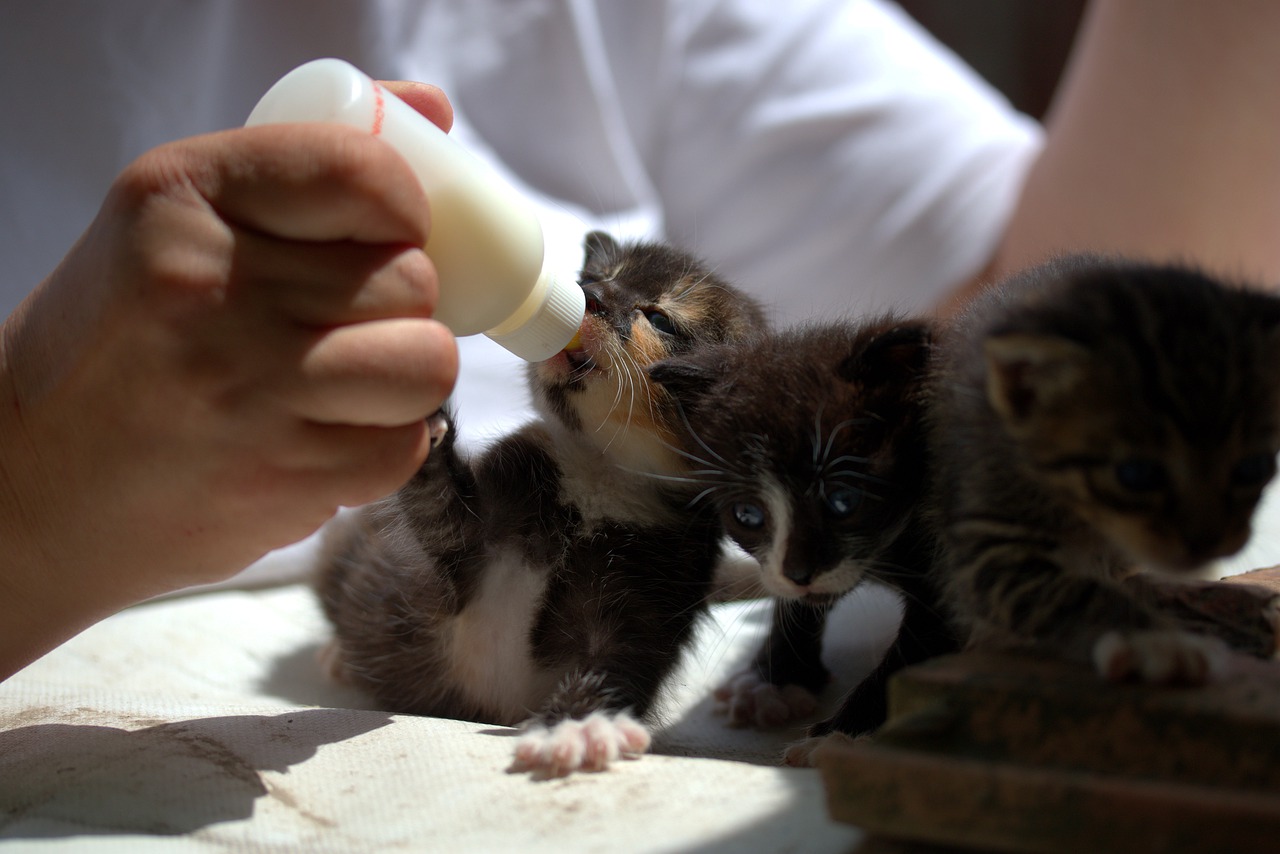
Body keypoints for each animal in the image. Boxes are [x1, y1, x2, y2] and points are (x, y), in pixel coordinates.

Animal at [313, 230, 762, 778]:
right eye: (594, 278)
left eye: (659, 318)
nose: (591, 296)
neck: (599, 476)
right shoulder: (473, 535)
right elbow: (439, 512)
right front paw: (419, 409)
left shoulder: (661, 586)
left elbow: (618, 663)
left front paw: (578, 726)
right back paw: (337, 653)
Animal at [645, 316, 957, 763]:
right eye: (747, 515)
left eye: (844, 501)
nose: (799, 572)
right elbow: (791, 601)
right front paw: (775, 681)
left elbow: (921, 649)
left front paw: (841, 737)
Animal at [926, 252, 1280, 681]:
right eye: (1137, 475)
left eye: (1254, 467)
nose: (1206, 541)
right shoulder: (988, 529)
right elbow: (1062, 590)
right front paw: (1153, 639)